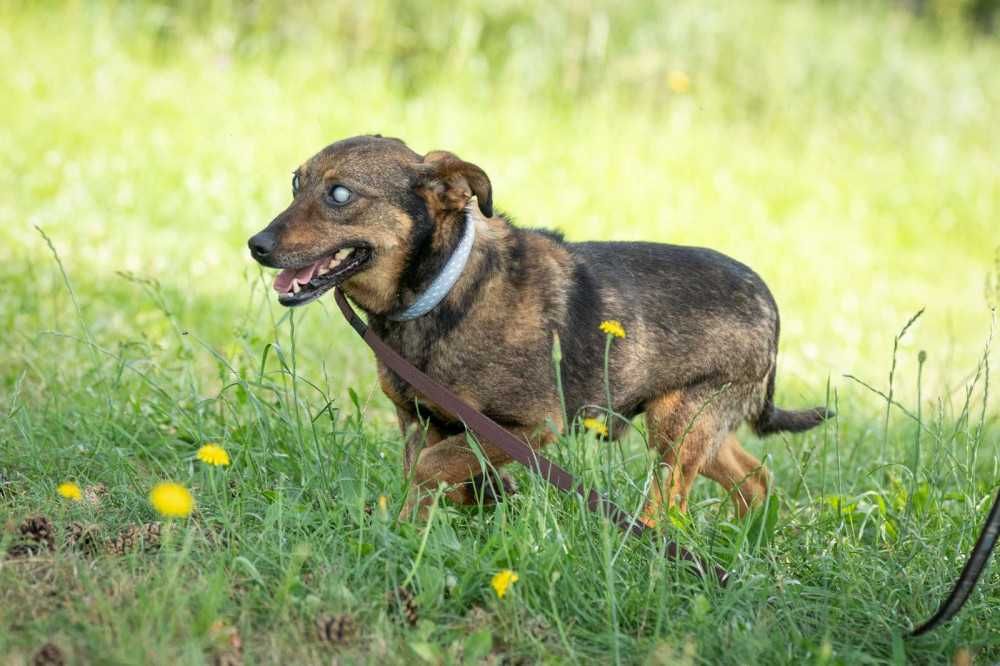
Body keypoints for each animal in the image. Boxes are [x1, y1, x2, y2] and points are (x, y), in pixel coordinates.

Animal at [250, 134, 828, 520]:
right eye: (296, 183)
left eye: (340, 195)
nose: (256, 244)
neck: (442, 289)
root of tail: (770, 303)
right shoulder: (422, 421)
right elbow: (434, 473)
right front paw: (427, 524)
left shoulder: (528, 427)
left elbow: (432, 467)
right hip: (694, 424)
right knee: (755, 479)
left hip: (678, 424)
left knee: (672, 506)